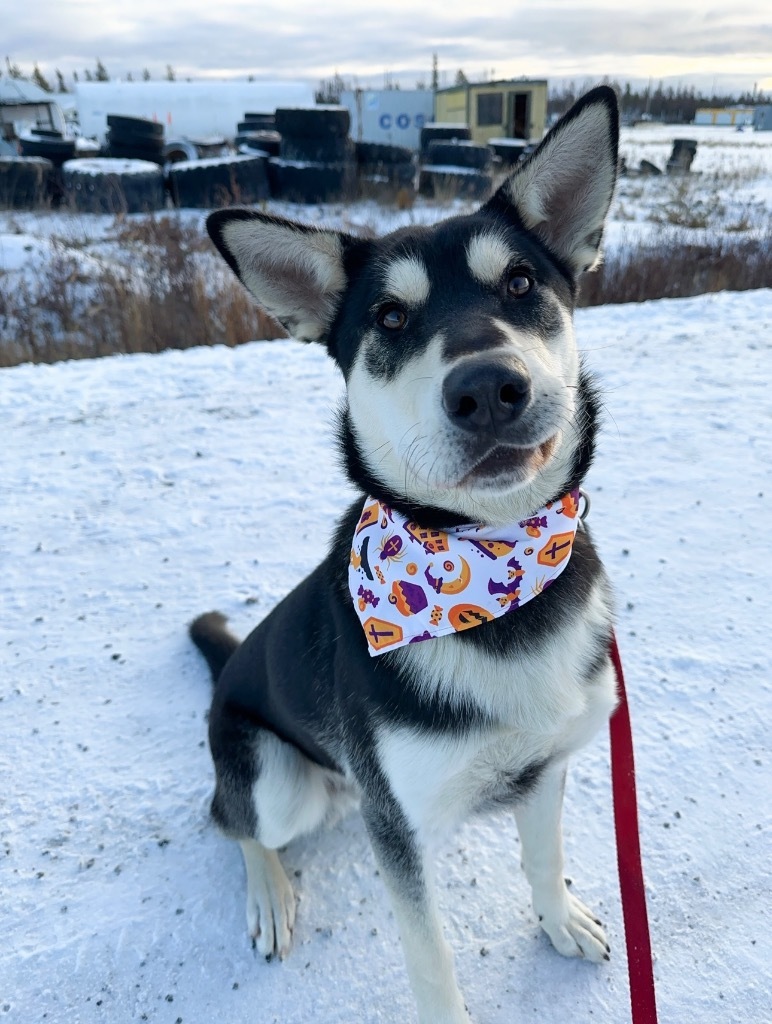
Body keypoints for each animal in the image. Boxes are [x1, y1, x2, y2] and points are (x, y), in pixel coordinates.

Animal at [191, 90, 618, 1024]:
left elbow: (543, 857)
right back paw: (269, 894)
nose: (488, 388)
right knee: (231, 820)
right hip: (274, 778)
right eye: (389, 318)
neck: (489, 572)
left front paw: (561, 921)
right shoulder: (403, 830)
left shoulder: (547, 764)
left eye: (521, 284)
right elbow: (430, 958)